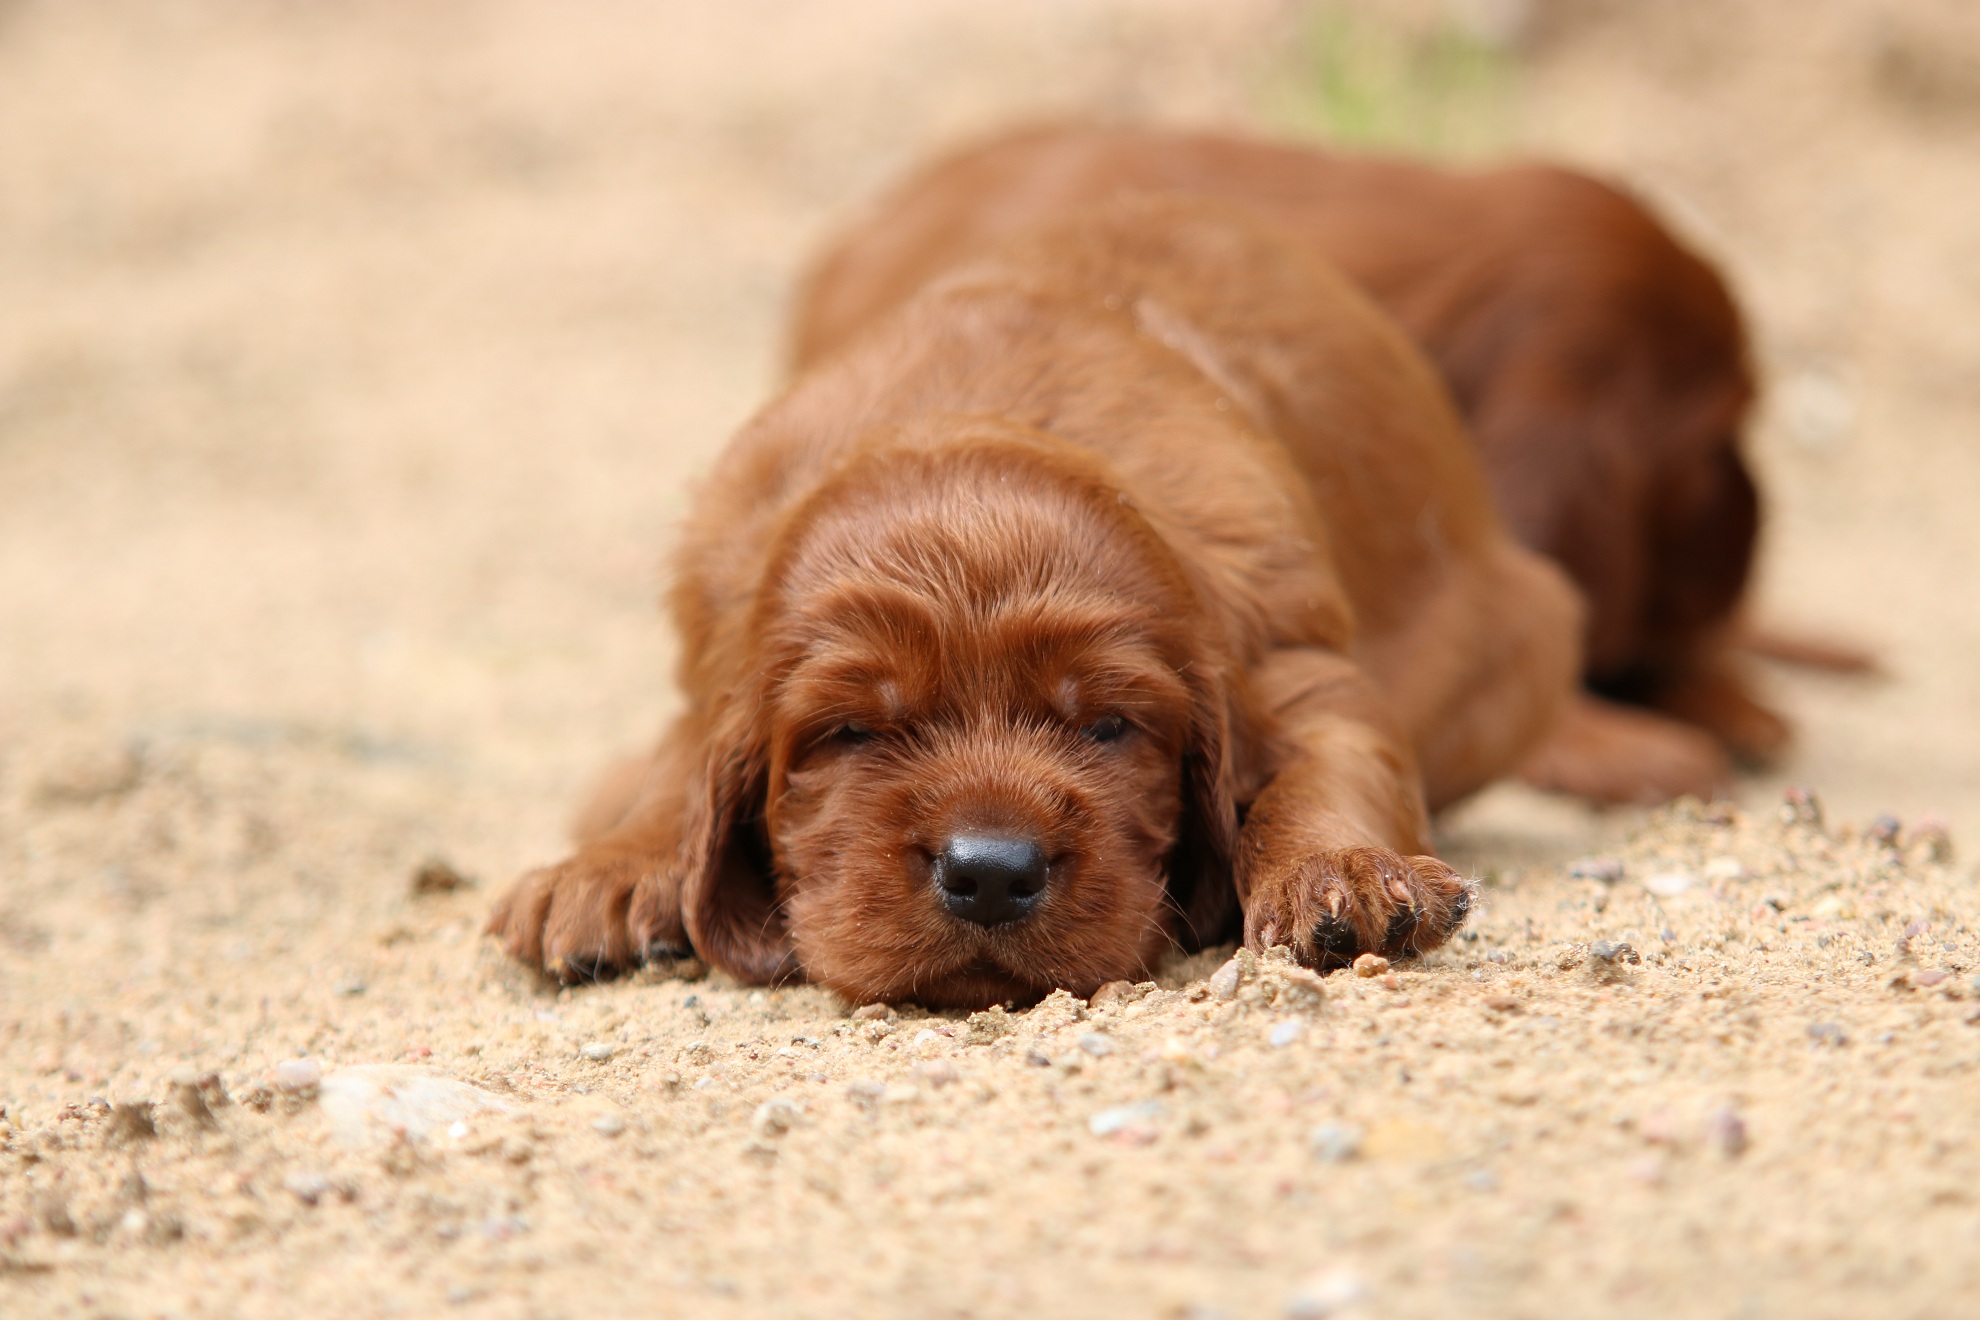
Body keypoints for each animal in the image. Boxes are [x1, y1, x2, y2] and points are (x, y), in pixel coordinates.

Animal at [495, 193, 1576, 1013]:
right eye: (850, 733)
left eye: (1108, 726)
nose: (990, 874)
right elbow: (677, 761)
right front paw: (612, 868)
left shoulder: (1295, 655)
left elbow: (1332, 757)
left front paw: (1343, 869)